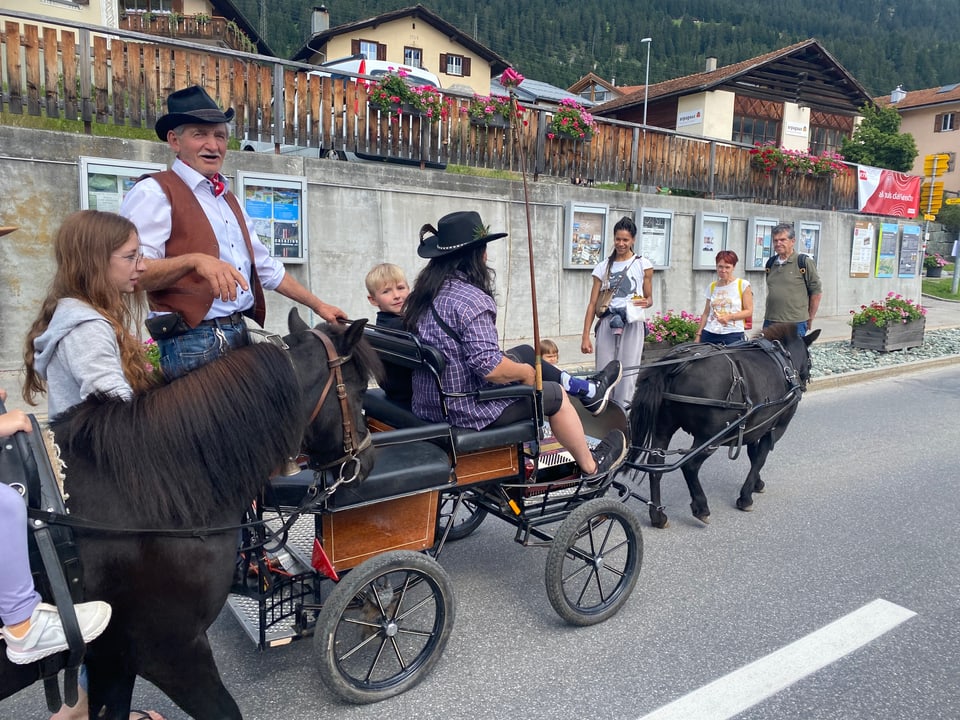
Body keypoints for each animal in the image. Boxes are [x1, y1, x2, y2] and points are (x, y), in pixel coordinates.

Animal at [628, 324, 820, 524]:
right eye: (809, 359)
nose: (806, 380)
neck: (784, 362)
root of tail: (674, 364)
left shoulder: (755, 426)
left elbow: (753, 455)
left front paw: (757, 483)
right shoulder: (775, 428)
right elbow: (760, 458)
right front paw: (746, 497)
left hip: (663, 430)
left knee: (655, 466)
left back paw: (658, 516)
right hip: (710, 438)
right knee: (690, 466)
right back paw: (701, 507)